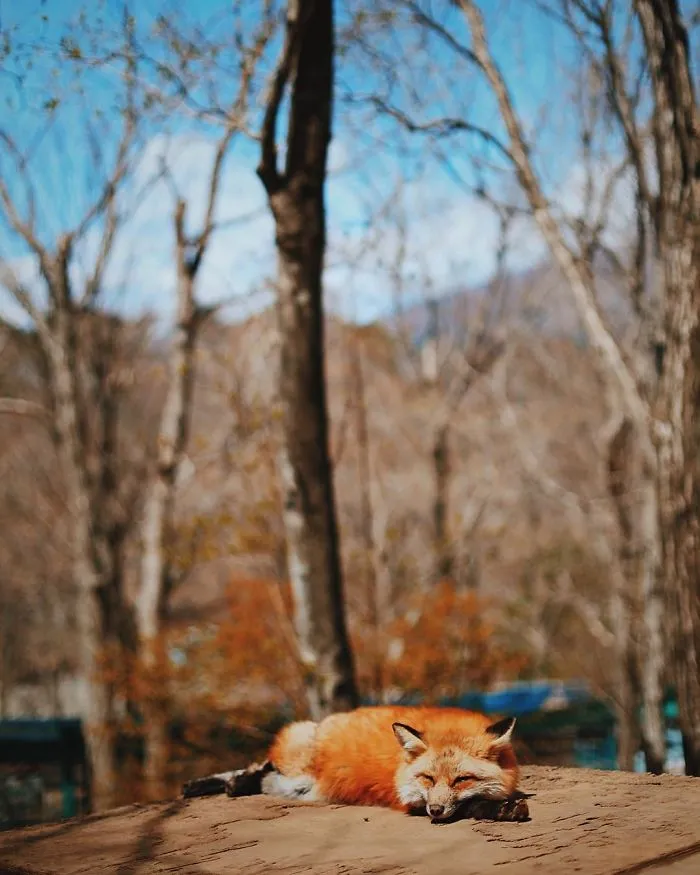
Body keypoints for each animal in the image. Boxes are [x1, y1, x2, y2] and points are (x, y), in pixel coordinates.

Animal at [183, 706, 522, 822]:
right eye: (427, 778)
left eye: (461, 780)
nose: (436, 810)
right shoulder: (410, 801)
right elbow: (470, 806)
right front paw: (503, 809)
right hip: (298, 772)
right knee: (264, 765)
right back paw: (232, 782)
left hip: (298, 789)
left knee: (264, 776)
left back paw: (235, 784)